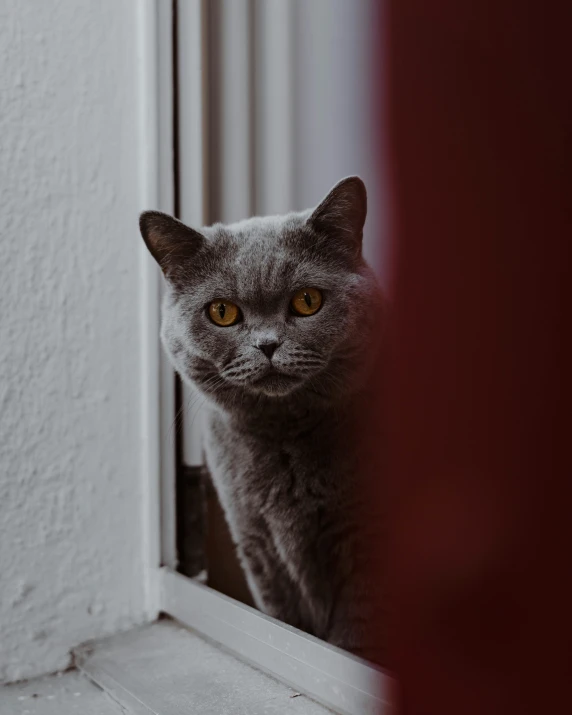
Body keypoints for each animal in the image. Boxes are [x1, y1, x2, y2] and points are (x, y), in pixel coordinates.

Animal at [141, 178, 386, 660]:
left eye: (307, 301)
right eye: (222, 312)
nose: (268, 345)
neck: (282, 436)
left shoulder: (366, 543)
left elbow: (353, 635)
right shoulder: (258, 545)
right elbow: (285, 624)